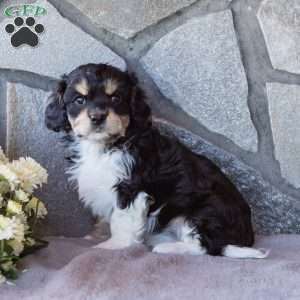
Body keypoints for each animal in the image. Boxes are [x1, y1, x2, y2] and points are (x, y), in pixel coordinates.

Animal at [45, 63, 268, 258]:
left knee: (206, 247)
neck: (105, 146)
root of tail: (246, 236)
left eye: (116, 98)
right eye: (79, 100)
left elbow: (122, 218)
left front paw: (114, 245)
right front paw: (97, 234)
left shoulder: (131, 187)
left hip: (203, 212)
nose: (98, 116)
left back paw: (167, 248)